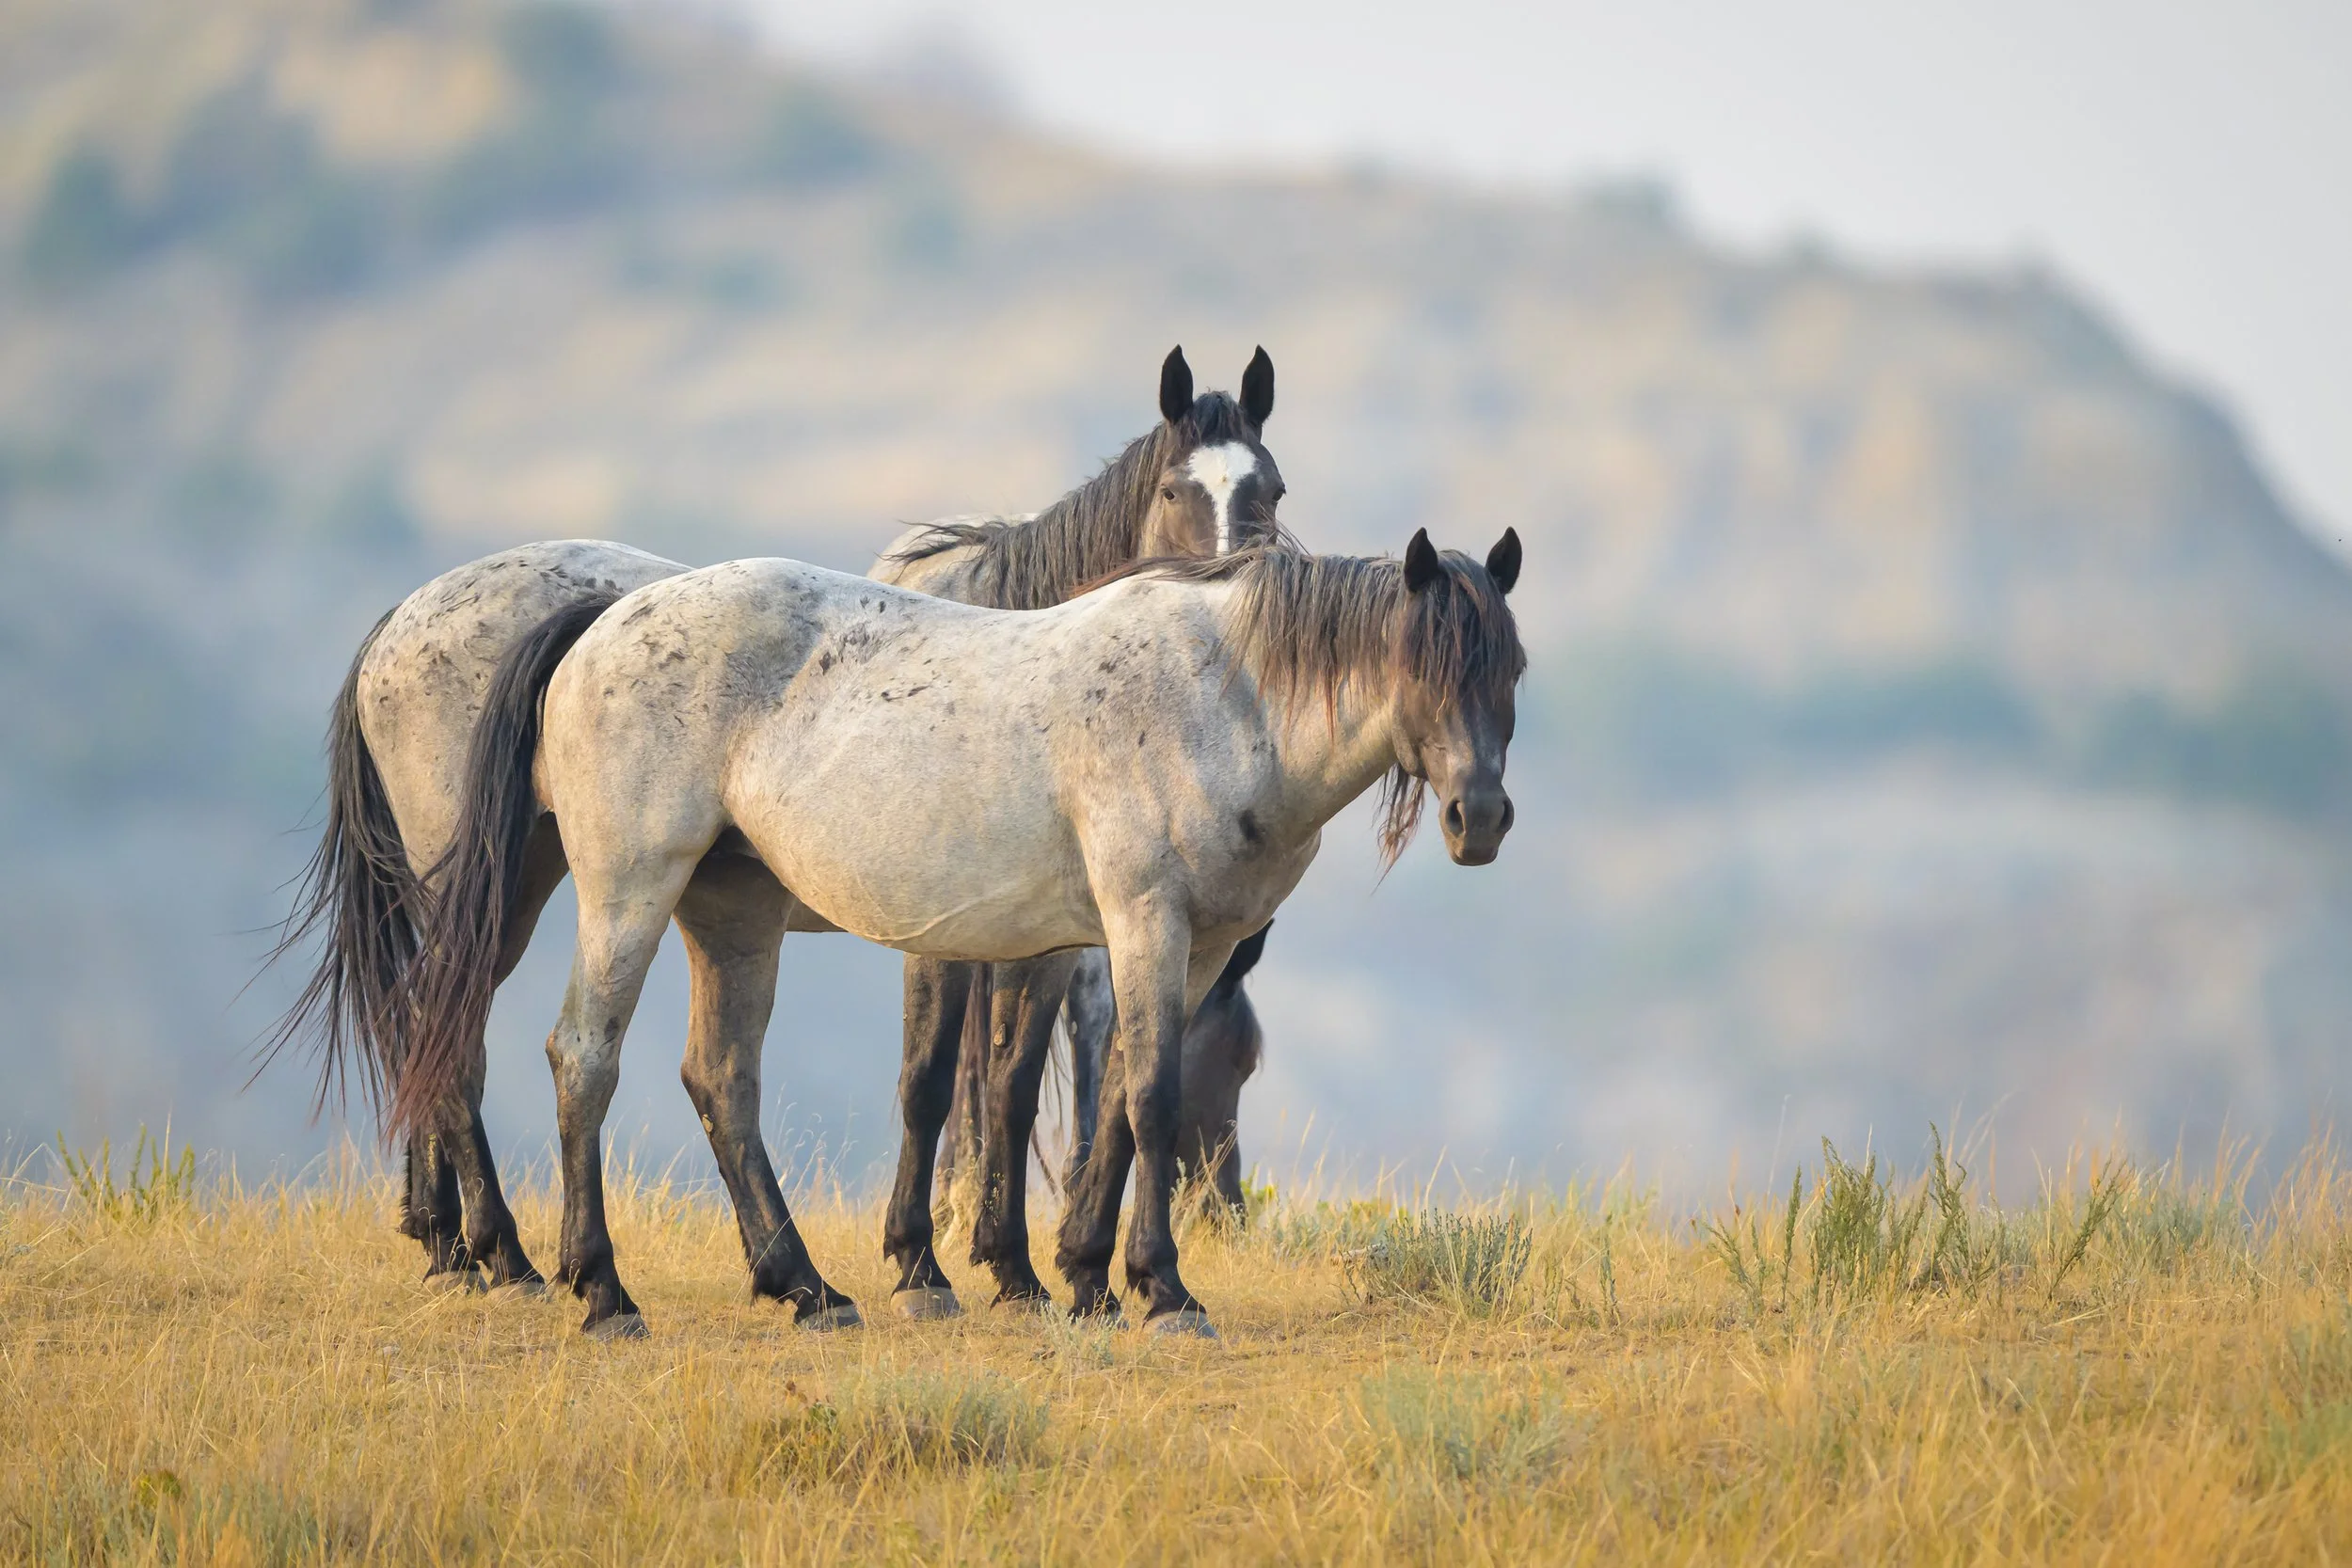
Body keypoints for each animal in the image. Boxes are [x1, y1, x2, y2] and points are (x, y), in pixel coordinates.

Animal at [266, 346, 1285, 1308]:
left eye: (1269, 488)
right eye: (1177, 491)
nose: (1227, 1205)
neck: (1037, 650)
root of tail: (397, 625)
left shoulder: (1037, 944)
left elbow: (1009, 1084)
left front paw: (1013, 1266)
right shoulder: (949, 935)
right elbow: (931, 1081)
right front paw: (923, 1262)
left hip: (515, 886)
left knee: (437, 1022)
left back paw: (448, 1239)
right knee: (452, 1029)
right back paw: (502, 1251)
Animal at [387, 531, 1525, 1338]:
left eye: (1510, 667)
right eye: (1422, 664)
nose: (1479, 819)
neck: (1220, 694)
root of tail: (602, 618)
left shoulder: (1185, 946)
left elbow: (1116, 1099)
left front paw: (1084, 1280)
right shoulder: (1142, 922)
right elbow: (1147, 1097)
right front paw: (1161, 1291)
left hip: (733, 911)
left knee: (719, 1078)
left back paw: (803, 1286)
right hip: (623, 890)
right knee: (580, 1055)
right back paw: (591, 1286)